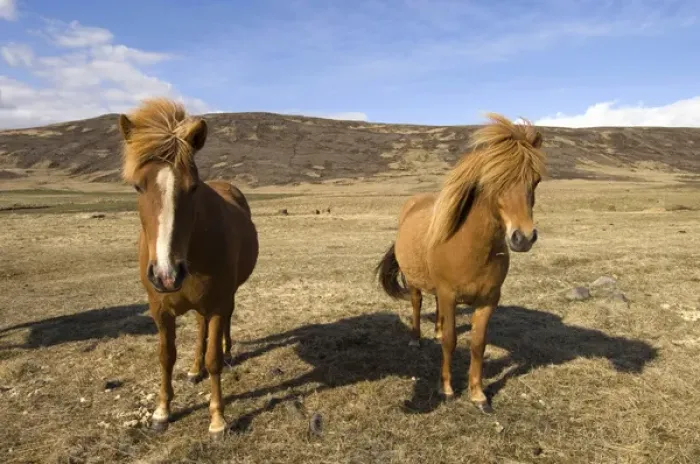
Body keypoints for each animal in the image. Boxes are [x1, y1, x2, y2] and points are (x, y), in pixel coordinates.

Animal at [118, 98, 259, 436]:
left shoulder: (218, 303)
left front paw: (218, 419)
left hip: (226, 296)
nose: (167, 275)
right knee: (199, 328)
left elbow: (214, 359)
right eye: (137, 187)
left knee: (221, 327)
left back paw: (228, 352)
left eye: (193, 187)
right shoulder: (159, 309)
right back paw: (194, 369)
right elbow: (166, 357)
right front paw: (162, 411)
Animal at [375, 113, 546, 413]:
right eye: (494, 180)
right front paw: (446, 389)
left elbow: (477, 344)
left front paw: (478, 394)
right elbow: (451, 341)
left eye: (535, 180)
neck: (471, 247)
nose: (523, 238)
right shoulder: (449, 294)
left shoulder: (488, 299)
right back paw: (416, 339)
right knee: (417, 304)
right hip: (414, 281)